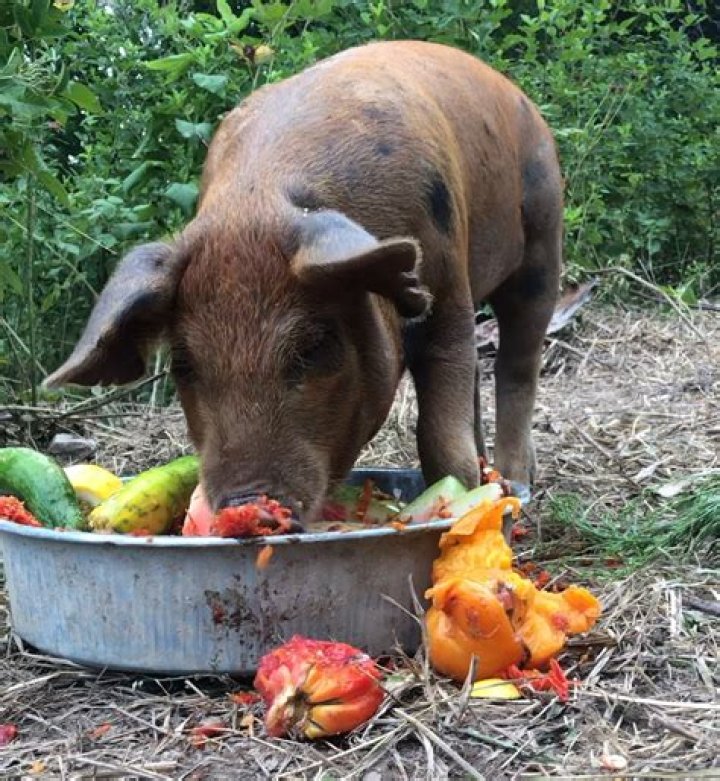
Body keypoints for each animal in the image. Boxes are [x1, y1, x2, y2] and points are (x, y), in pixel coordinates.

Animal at [46, 41, 562, 524]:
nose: (249, 502)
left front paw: (463, 498)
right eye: (184, 366)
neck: (257, 201)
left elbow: (439, 433)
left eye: (313, 348)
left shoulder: (448, 288)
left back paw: (516, 482)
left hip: (542, 238)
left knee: (517, 363)